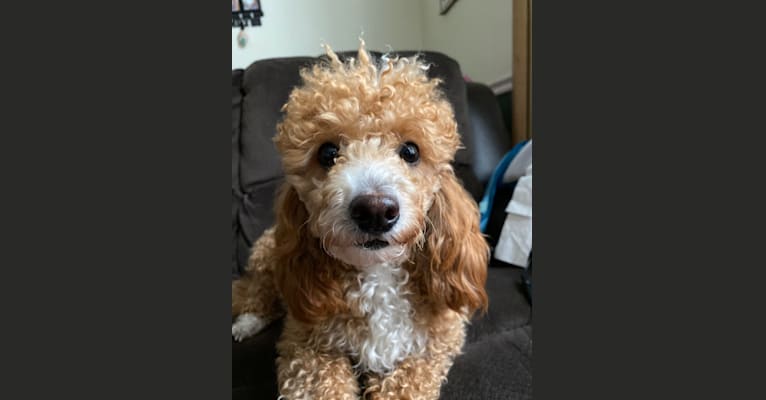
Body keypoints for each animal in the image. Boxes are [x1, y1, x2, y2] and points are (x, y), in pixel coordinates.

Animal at [231, 41, 488, 400]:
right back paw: (246, 322)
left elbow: (407, 381)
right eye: (327, 153)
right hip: (268, 262)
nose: (376, 211)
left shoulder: (433, 345)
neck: (377, 273)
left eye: (410, 152)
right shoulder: (307, 347)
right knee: (253, 292)